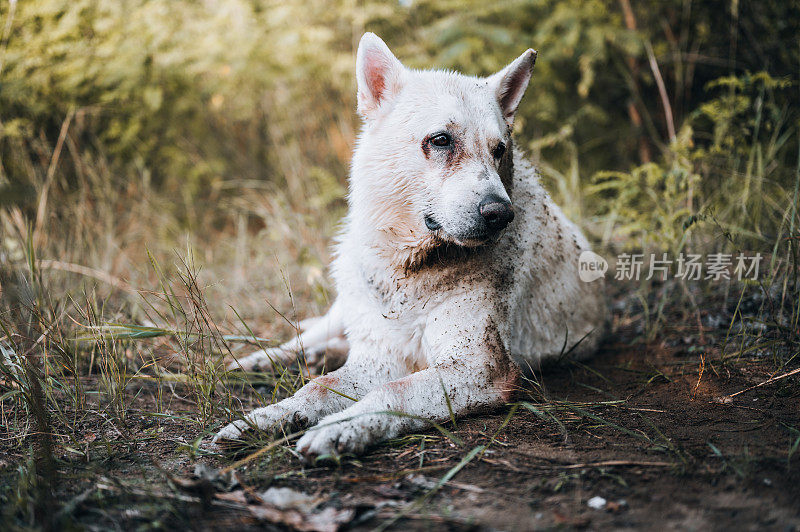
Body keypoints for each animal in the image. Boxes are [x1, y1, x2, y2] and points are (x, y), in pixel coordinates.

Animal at [216, 34, 608, 458]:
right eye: (441, 141)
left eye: (500, 149)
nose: (501, 214)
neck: (409, 269)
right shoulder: (381, 357)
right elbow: (317, 388)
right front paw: (264, 419)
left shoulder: (476, 368)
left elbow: (390, 392)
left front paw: (339, 428)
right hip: (344, 304)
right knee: (310, 336)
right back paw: (258, 360)